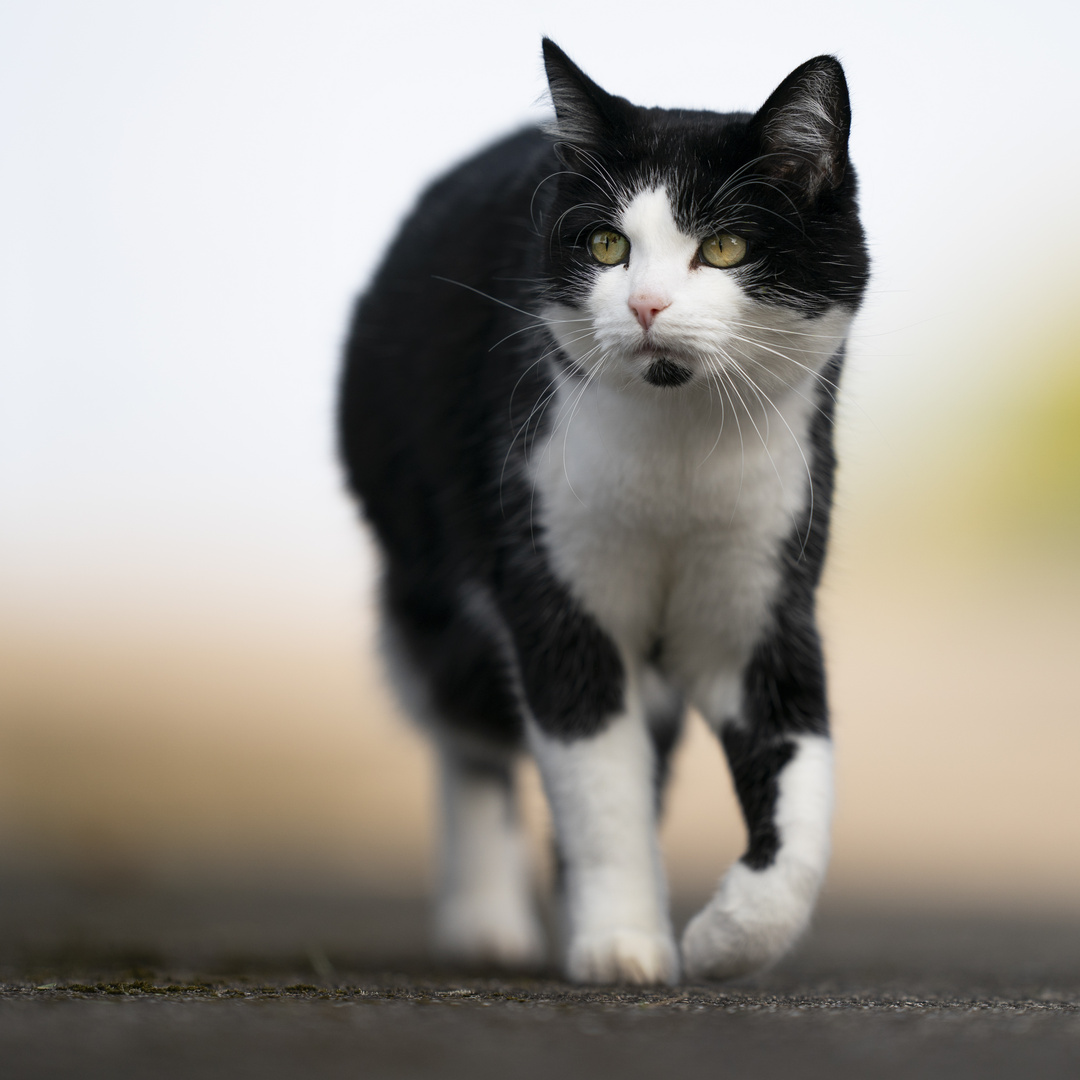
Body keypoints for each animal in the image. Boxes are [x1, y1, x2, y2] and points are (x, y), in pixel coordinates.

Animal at [336, 39, 868, 989]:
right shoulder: (553, 585)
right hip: (429, 563)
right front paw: (622, 943)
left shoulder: (763, 594)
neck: (677, 457)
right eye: (607, 243)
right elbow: (598, 782)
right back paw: (487, 919)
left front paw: (727, 936)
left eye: (725, 246)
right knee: (470, 736)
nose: (646, 305)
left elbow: (803, 790)